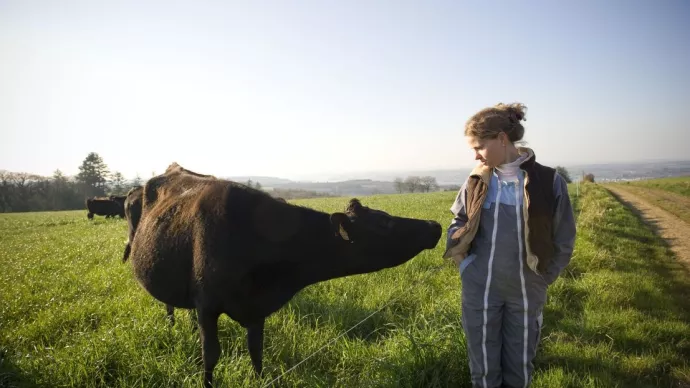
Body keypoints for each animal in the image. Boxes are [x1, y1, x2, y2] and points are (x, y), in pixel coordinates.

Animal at [121, 162, 440, 386]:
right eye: (384, 223)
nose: (434, 225)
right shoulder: (208, 305)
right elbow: (209, 355)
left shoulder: (256, 308)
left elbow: (257, 351)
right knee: (169, 305)